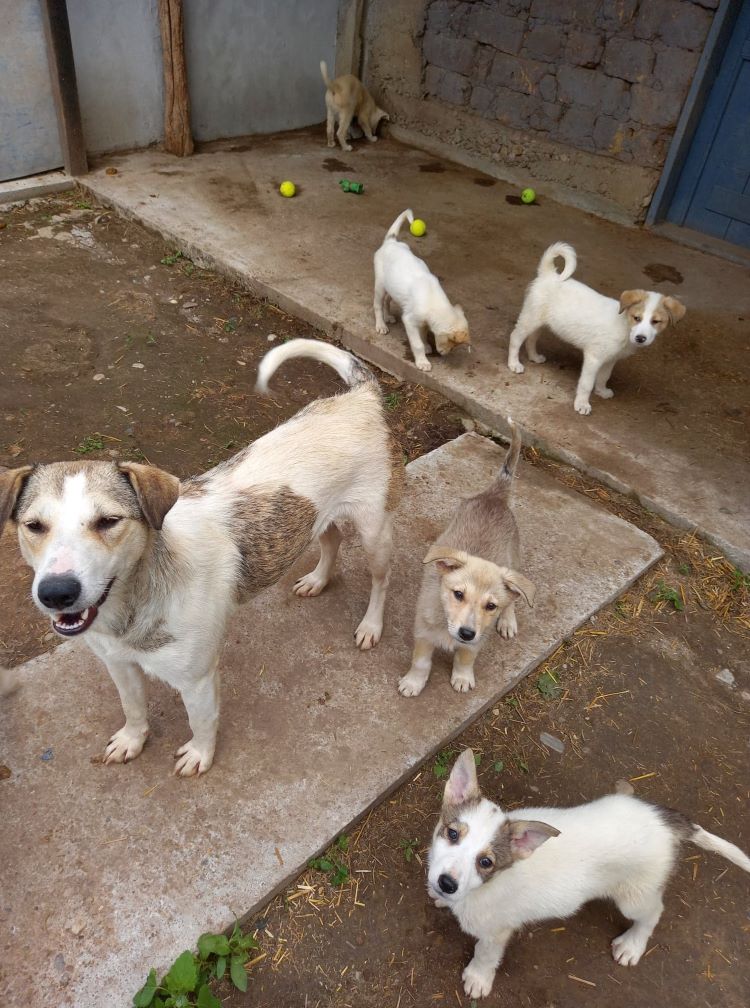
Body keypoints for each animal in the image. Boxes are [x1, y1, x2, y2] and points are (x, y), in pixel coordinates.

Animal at [0, 342, 401, 774]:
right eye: (34, 526)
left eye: (108, 521)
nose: (56, 593)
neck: (132, 607)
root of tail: (360, 397)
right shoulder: (118, 665)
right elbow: (133, 707)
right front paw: (132, 740)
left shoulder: (197, 680)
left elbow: (201, 722)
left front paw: (200, 755)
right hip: (314, 516)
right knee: (331, 539)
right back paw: (318, 579)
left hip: (375, 532)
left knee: (381, 580)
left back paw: (371, 625)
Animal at [370, 208, 467, 370]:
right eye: (452, 342)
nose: (444, 354)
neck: (434, 302)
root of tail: (391, 242)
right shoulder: (409, 320)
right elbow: (417, 344)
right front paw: (423, 361)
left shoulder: (423, 321)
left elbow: (423, 334)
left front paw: (427, 346)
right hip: (380, 286)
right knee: (377, 305)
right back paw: (381, 325)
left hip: (392, 287)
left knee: (387, 301)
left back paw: (388, 316)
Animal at [427, 749, 750, 999]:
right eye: (452, 833)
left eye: (486, 862)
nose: (446, 883)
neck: (480, 889)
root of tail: (666, 822)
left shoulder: (496, 931)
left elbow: (485, 954)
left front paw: (478, 978)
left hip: (634, 896)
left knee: (654, 912)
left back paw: (632, 945)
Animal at [506, 242, 689, 413]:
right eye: (637, 318)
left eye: (656, 321)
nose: (640, 338)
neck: (624, 326)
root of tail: (549, 274)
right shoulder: (594, 357)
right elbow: (586, 383)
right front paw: (582, 404)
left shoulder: (611, 359)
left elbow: (604, 377)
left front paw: (601, 391)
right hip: (530, 318)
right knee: (515, 337)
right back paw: (514, 364)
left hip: (540, 322)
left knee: (531, 339)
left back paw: (534, 357)